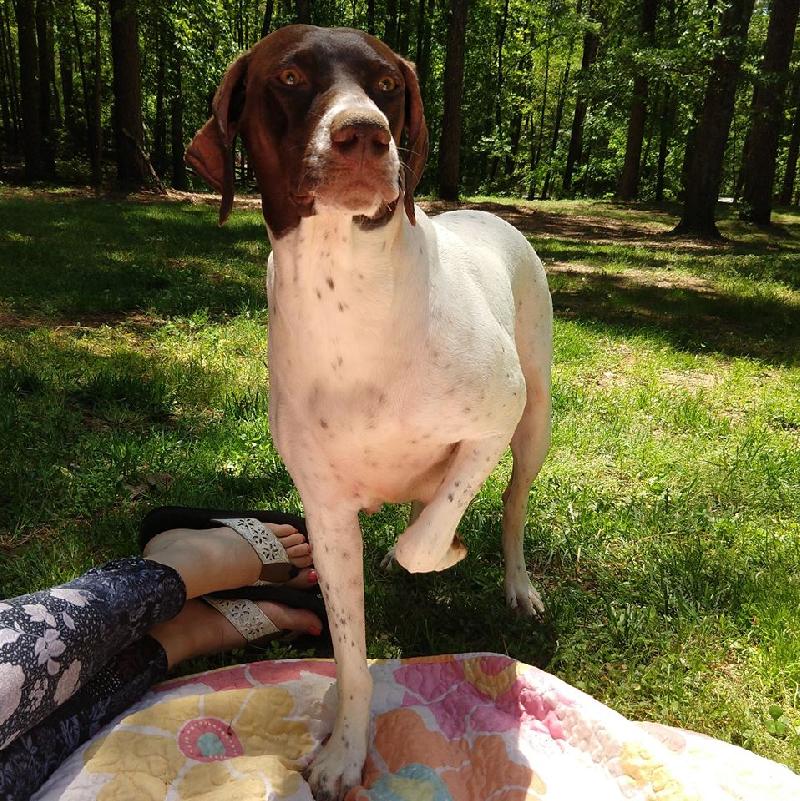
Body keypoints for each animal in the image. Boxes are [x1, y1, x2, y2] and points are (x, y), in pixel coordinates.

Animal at [186, 25, 552, 800]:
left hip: (534, 418)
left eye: (385, 83)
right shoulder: (324, 515)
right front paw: (345, 747)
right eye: (291, 76)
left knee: (510, 508)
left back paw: (517, 584)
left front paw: (443, 546)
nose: (365, 133)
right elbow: (350, 653)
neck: (349, 293)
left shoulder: (493, 418)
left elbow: (427, 539)